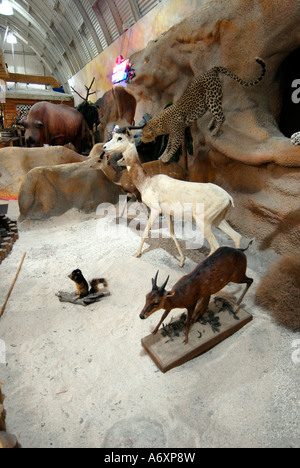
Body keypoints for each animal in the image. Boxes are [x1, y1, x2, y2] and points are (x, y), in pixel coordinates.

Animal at [128, 57, 264, 163]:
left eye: (144, 135)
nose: (143, 141)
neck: (161, 124)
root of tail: (211, 70)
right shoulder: (172, 134)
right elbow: (168, 146)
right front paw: (162, 156)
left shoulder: (177, 134)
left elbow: (173, 147)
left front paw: (166, 158)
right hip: (212, 100)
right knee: (217, 114)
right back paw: (211, 125)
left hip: (212, 99)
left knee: (222, 116)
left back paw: (214, 131)